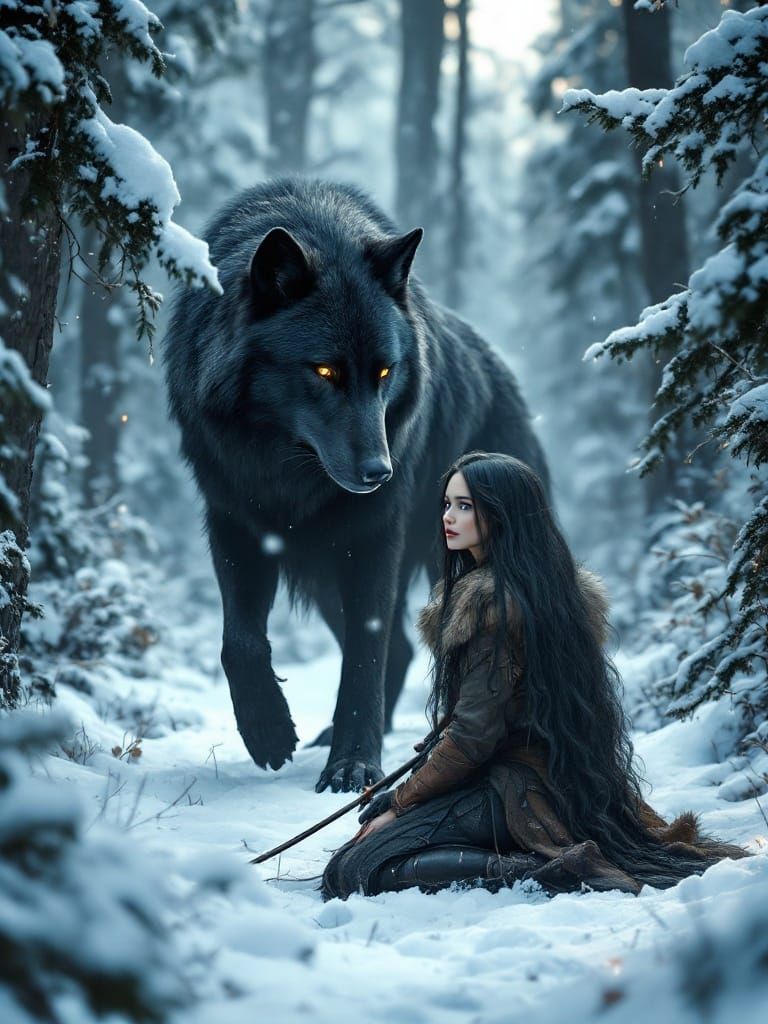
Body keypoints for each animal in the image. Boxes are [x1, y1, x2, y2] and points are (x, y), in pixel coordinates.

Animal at [163, 178, 549, 793]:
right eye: (325, 371)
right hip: (326, 577)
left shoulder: (372, 535)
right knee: (399, 650)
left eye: (386, 372)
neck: (289, 472)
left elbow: (366, 650)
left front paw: (354, 764)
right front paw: (268, 733)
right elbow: (239, 642)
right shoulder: (234, 519)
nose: (380, 472)